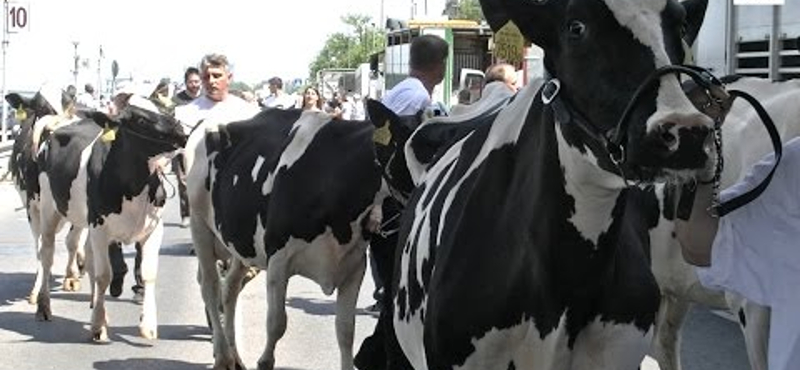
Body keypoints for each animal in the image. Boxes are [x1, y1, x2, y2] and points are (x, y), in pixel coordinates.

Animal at [4, 86, 86, 304]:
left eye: (70, 105)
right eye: (40, 108)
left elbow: (72, 240)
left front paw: (70, 277)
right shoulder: (32, 206)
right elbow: (42, 246)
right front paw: (38, 288)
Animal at [33, 97, 185, 342]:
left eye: (164, 110)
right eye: (141, 120)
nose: (181, 131)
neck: (135, 186)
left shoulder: (154, 228)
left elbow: (148, 273)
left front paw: (148, 326)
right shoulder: (100, 227)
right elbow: (104, 275)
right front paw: (97, 327)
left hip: (83, 220)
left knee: (86, 255)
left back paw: (96, 306)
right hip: (48, 207)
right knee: (46, 255)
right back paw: (43, 307)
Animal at [187, 107, 406, 370]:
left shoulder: (354, 266)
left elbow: (346, 330)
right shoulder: (278, 259)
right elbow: (276, 323)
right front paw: (265, 361)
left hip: (241, 242)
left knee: (230, 288)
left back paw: (235, 357)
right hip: (199, 224)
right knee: (209, 286)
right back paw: (222, 355)